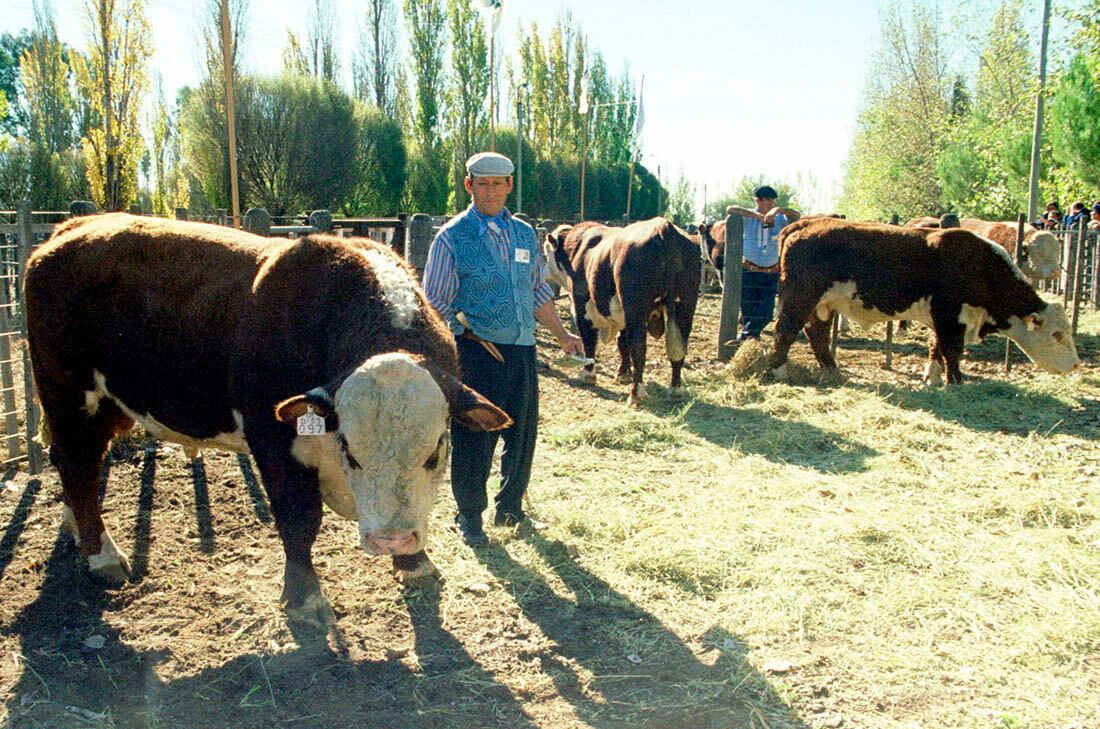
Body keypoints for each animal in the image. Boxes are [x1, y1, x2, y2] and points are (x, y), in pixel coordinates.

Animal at [27, 211, 510, 628]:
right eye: (350, 450)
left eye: (436, 451)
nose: (390, 540)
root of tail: (72, 229)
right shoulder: (273, 439)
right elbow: (299, 520)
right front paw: (305, 599)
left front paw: (414, 563)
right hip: (70, 398)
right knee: (79, 465)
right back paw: (103, 555)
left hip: (106, 407)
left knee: (71, 466)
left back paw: (77, 530)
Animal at [543, 216, 704, 411]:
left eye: (547, 252)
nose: (543, 270)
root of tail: (664, 226)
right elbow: (622, 344)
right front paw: (623, 373)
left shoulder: (582, 307)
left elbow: (589, 341)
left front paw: (588, 375)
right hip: (685, 307)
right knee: (678, 349)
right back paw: (675, 390)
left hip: (636, 309)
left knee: (638, 346)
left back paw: (635, 393)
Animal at [770, 216, 1078, 384]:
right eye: (1057, 334)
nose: (1075, 365)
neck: (980, 266)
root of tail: (805, 223)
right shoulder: (950, 314)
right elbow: (952, 349)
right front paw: (956, 381)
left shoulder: (942, 317)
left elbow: (936, 346)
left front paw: (933, 376)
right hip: (801, 297)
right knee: (785, 331)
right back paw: (780, 372)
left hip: (823, 305)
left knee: (818, 335)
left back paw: (833, 370)